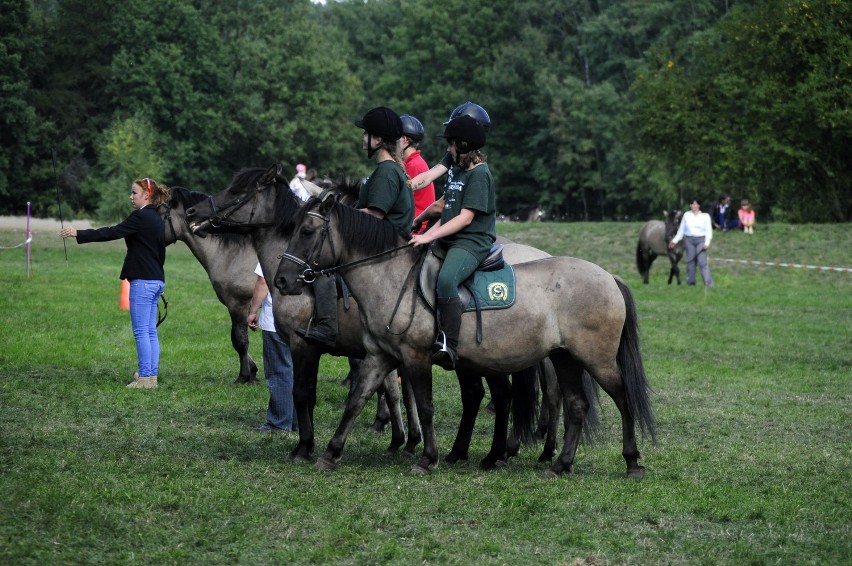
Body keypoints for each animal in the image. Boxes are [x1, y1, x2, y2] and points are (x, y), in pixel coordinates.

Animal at [184, 166, 556, 472]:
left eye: (236, 190)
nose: (193, 212)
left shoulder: (305, 345)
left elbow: (305, 393)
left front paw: (305, 446)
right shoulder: (379, 351)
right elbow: (387, 392)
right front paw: (400, 440)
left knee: (524, 395)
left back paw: (519, 451)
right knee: (491, 396)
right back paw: (481, 452)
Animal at [276, 195, 656, 480]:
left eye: (307, 231)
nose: (281, 280)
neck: (392, 277)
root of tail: (608, 276)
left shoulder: (415, 356)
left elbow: (425, 406)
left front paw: (427, 458)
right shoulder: (380, 356)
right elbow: (357, 399)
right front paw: (330, 452)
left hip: (596, 359)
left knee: (622, 398)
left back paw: (632, 461)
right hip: (564, 358)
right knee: (576, 405)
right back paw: (561, 465)